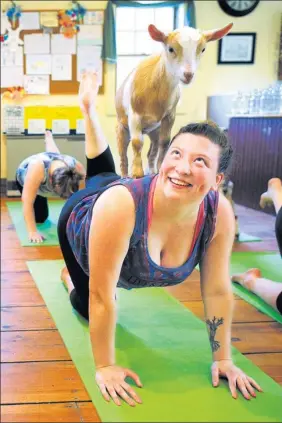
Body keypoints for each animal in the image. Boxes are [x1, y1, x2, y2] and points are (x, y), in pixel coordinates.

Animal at [115, 22, 232, 178]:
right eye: (170, 49)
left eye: (203, 49)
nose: (188, 75)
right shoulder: (135, 115)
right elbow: (137, 142)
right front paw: (137, 174)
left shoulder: (169, 116)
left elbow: (165, 142)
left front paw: (160, 168)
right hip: (122, 127)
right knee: (123, 153)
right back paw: (124, 175)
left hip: (154, 131)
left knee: (152, 150)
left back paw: (152, 170)